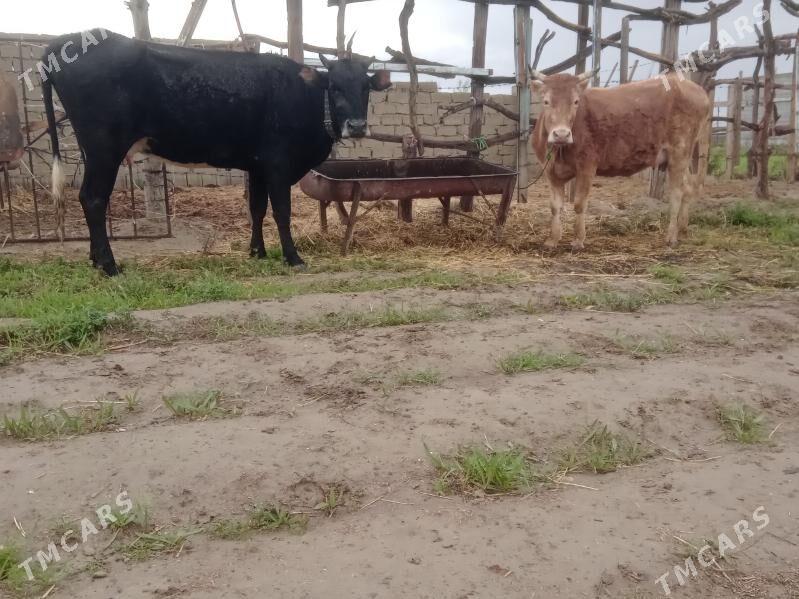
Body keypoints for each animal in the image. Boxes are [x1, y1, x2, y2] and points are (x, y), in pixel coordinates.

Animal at [42, 29, 391, 276]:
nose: (357, 126)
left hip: (92, 151)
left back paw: (96, 260)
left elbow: (256, 209)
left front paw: (257, 253)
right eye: (334, 86)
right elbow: (281, 211)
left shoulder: (258, 166)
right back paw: (110, 266)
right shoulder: (278, 164)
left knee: (89, 198)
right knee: (93, 198)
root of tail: (65, 40)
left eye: (366, 87)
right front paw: (293, 258)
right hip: (105, 148)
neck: (305, 97)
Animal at [528, 69, 709, 250]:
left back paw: (671, 236)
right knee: (687, 188)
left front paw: (578, 240)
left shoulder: (587, 166)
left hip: (680, 150)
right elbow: (554, 207)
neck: (559, 150)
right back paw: (683, 229)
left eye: (575, 101)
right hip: (676, 158)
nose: (561, 134)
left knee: (677, 193)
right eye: (546, 101)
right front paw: (552, 240)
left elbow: (579, 204)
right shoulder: (550, 172)